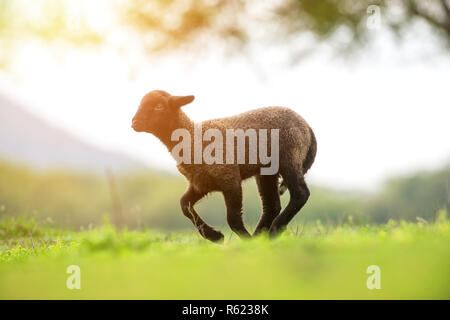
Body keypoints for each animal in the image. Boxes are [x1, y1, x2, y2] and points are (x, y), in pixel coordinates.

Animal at [132, 90, 318, 242]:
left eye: (158, 106)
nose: (134, 122)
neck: (192, 137)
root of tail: (308, 127)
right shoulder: (200, 184)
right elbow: (184, 205)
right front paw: (214, 236)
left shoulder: (229, 178)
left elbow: (233, 218)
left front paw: (242, 241)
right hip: (266, 171)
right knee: (271, 205)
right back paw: (261, 237)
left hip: (289, 157)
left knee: (301, 194)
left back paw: (273, 230)